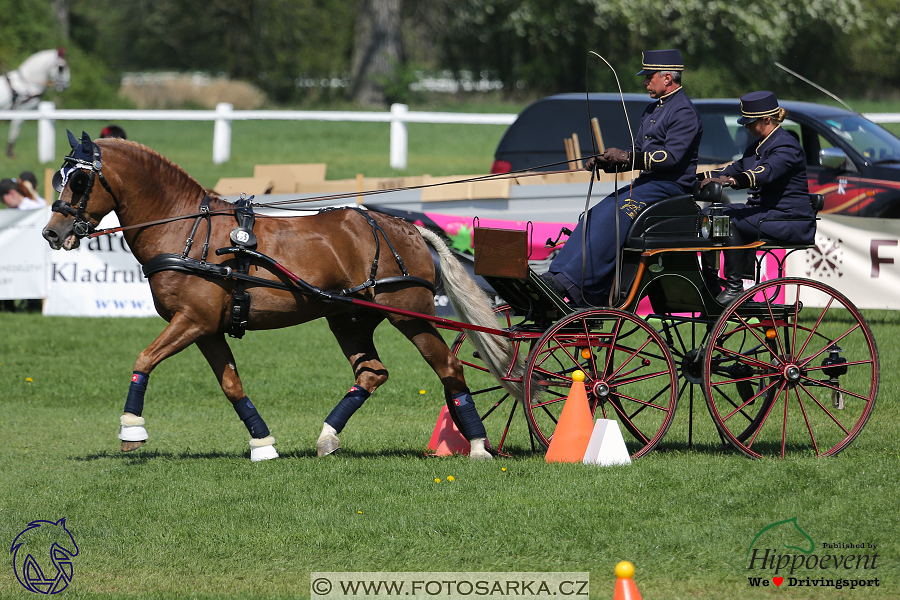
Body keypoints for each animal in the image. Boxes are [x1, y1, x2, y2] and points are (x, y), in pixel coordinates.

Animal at [44, 134, 520, 462]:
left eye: (80, 179)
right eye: (57, 177)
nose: (53, 232)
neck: (186, 231)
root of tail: (408, 228)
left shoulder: (192, 320)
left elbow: (143, 359)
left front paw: (132, 430)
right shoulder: (206, 328)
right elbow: (231, 385)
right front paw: (262, 443)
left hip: (409, 314)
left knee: (449, 368)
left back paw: (479, 445)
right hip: (348, 319)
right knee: (371, 373)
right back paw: (327, 437)